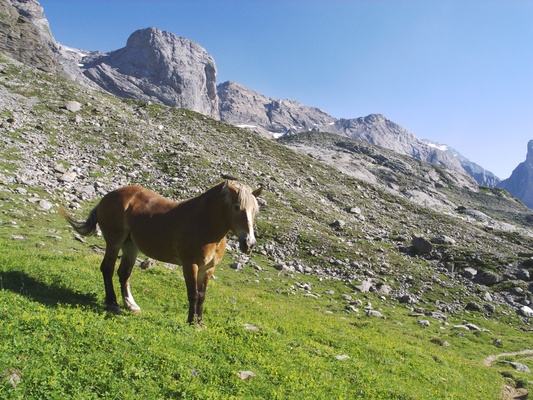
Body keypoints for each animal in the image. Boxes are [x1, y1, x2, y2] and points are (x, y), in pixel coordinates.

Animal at [62, 180, 262, 324]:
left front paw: (200, 322)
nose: (249, 243)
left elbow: (202, 296)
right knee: (107, 269)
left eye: (254, 210)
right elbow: (193, 294)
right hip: (114, 242)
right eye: (237, 207)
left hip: (130, 246)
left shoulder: (207, 269)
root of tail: (108, 197)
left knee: (124, 273)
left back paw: (131, 305)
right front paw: (191, 323)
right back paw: (112, 303)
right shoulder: (190, 265)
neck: (206, 224)